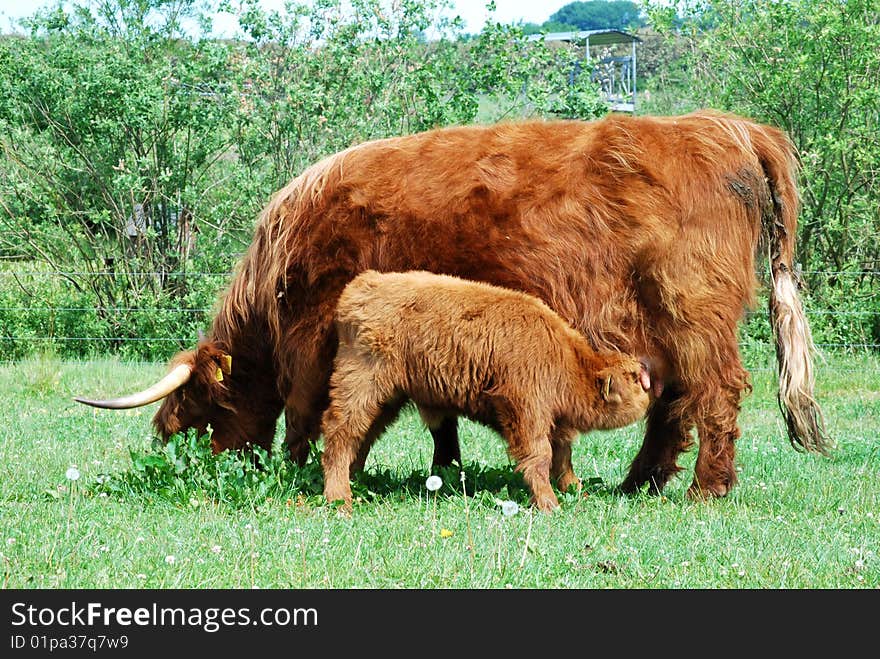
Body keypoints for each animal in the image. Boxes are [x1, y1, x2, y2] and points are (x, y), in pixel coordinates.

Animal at [324, 270, 652, 512]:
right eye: (636, 379)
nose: (651, 390)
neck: (568, 360)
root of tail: (362, 285)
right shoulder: (526, 411)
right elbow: (539, 455)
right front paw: (549, 503)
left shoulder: (554, 422)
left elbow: (562, 456)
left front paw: (575, 490)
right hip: (361, 386)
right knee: (340, 432)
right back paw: (339, 499)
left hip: (388, 398)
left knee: (363, 436)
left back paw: (353, 482)